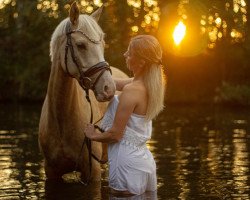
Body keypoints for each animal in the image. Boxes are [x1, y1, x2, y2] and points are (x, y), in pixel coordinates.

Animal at [38, 1, 129, 183]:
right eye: (81, 45)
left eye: (103, 45)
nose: (108, 88)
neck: (61, 121)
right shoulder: (51, 172)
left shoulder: (92, 171)